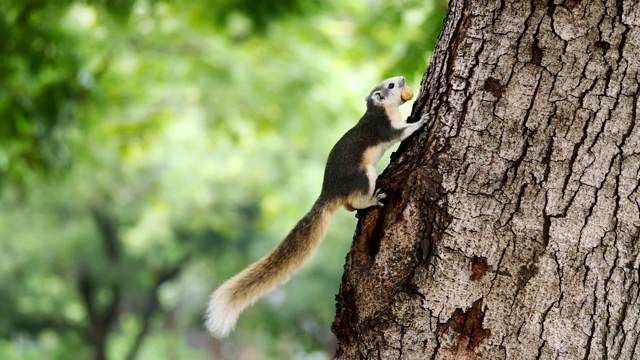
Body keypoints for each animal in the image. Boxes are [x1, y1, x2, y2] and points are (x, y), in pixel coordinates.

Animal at [205, 76, 430, 338]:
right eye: (390, 86)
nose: (402, 79)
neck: (380, 110)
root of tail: (330, 193)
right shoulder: (385, 128)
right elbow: (403, 132)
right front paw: (421, 120)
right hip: (364, 175)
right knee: (356, 200)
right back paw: (372, 199)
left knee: (348, 206)